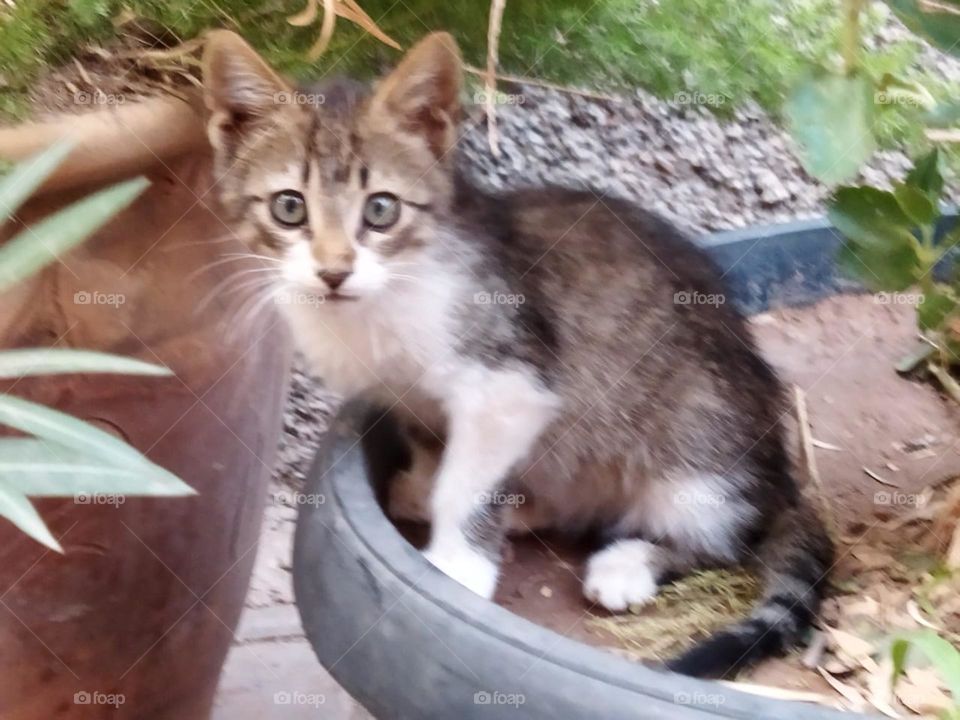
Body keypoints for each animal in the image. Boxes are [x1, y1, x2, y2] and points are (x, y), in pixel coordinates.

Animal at [202, 29, 832, 680]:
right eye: (289, 207)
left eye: (380, 209)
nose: (333, 272)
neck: (384, 297)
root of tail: (782, 478)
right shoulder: (408, 393)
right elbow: (437, 452)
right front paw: (427, 489)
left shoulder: (510, 382)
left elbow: (466, 481)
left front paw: (457, 564)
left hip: (698, 451)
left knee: (724, 537)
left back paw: (628, 564)